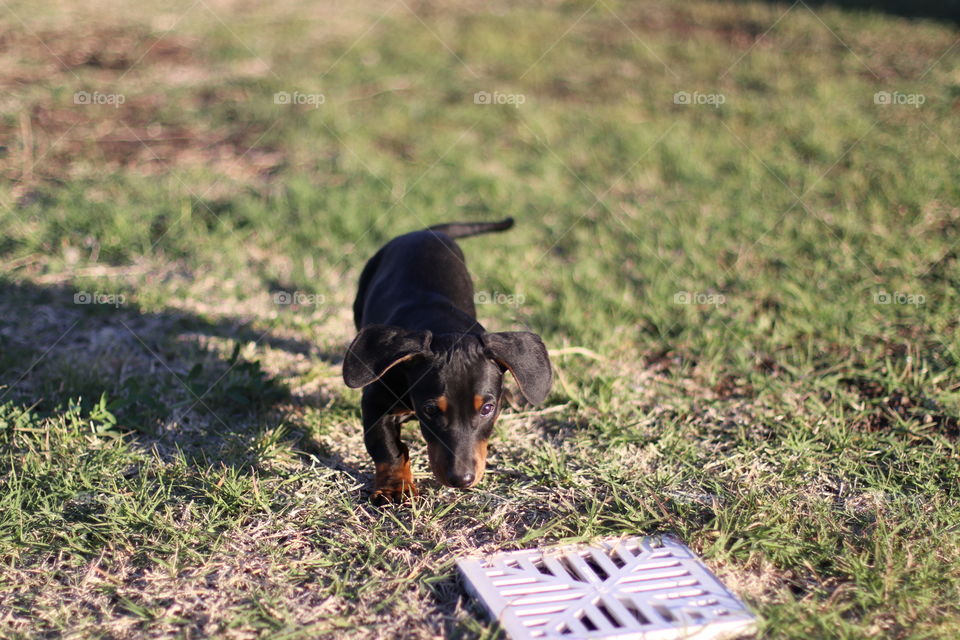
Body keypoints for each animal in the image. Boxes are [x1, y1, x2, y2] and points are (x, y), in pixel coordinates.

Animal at [344, 220, 556, 504]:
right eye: (431, 409)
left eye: (487, 408)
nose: (461, 479)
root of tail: (425, 232)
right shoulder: (376, 401)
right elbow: (388, 449)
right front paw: (395, 488)